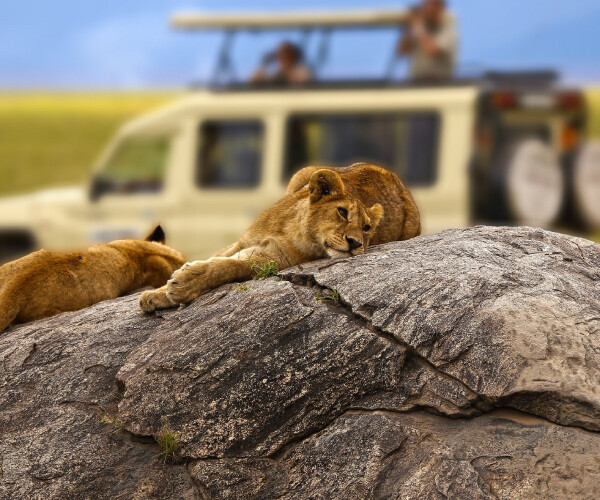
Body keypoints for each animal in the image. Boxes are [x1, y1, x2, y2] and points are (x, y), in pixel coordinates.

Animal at [138, 164, 420, 310]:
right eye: (342, 212)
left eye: (367, 228)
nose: (356, 244)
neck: (293, 227)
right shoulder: (245, 240)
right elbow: (218, 257)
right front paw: (156, 294)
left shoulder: (274, 260)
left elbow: (228, 267)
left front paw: (183, 285)